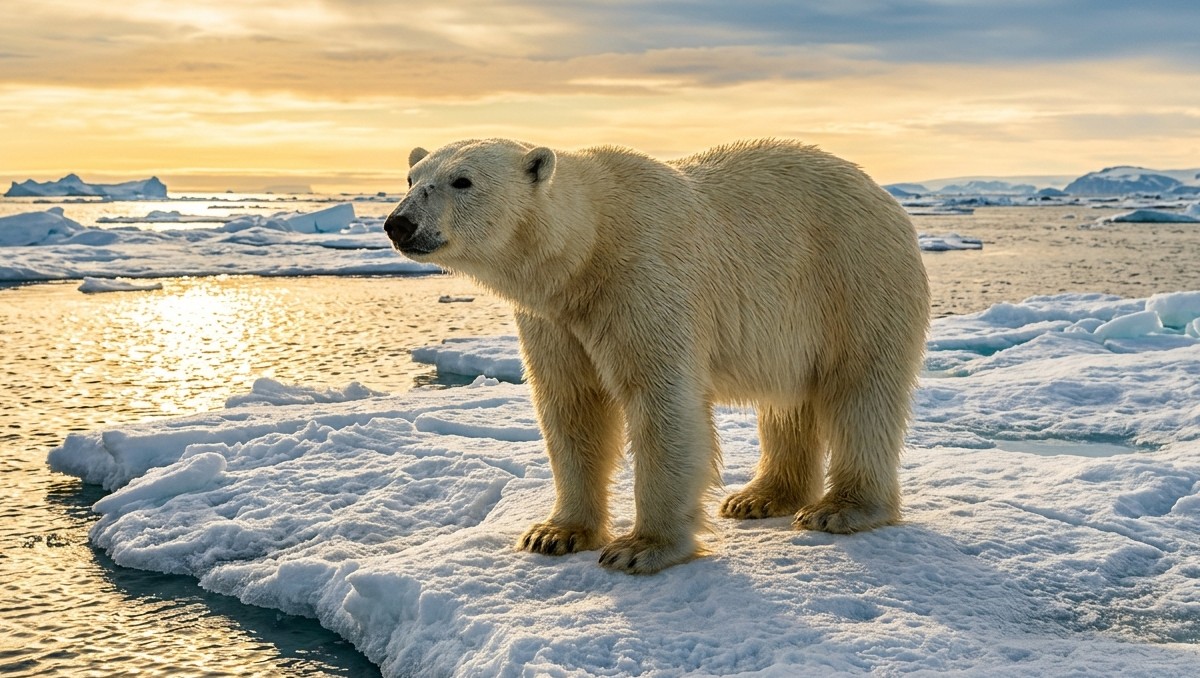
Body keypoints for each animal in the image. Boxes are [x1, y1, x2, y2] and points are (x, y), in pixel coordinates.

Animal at [384, 138, 930, 574]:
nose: (398, 223)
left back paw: (839, 508)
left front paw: (640, 548)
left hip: (854, 279)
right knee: (788, 403)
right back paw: (759, 497)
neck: (589, 249)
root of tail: (886, 197)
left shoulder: (644, 280)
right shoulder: (555, 318)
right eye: (411, 177)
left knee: (860, 392)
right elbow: (571, 405)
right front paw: (554, 533)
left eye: (462, 180)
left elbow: (662, 402)